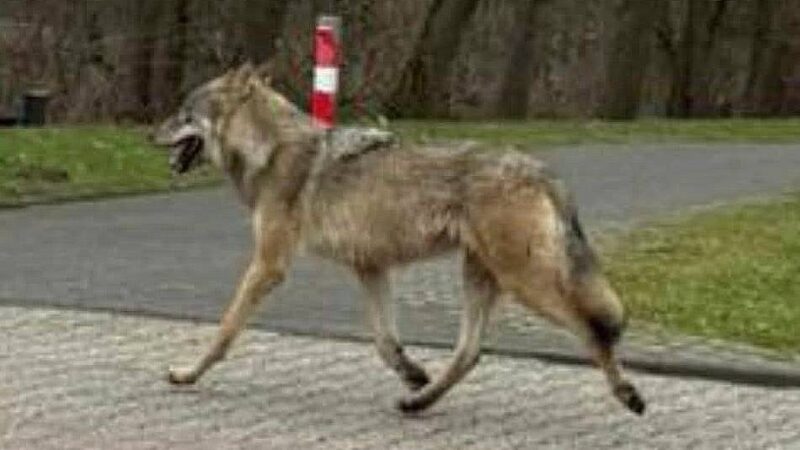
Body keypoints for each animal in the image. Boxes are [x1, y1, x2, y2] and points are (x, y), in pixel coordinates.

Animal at [152, 64, 646, 415]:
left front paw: (187, 374)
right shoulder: (371, 268)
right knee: (470, 353)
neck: (270, 150)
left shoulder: (269, 266)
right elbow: (385, 343)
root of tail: (542, 170)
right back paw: (419, 402)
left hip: (526, 283)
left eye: (182, 112)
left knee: (594, 329)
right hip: (481, 278)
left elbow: (224, 331)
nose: (149, 133)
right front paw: (412, 375)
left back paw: (627, 392)